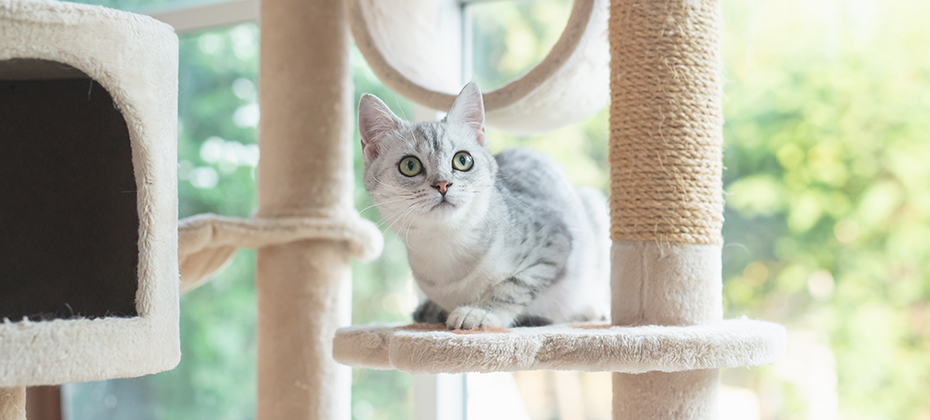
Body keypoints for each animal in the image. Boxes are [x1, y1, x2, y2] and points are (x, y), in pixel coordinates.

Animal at [356, 83, 608, 332]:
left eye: (463, 160)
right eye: (410, 165)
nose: (443, 184)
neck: (446, 248)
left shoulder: (554, 243)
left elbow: (513, 286)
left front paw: (481, 312)